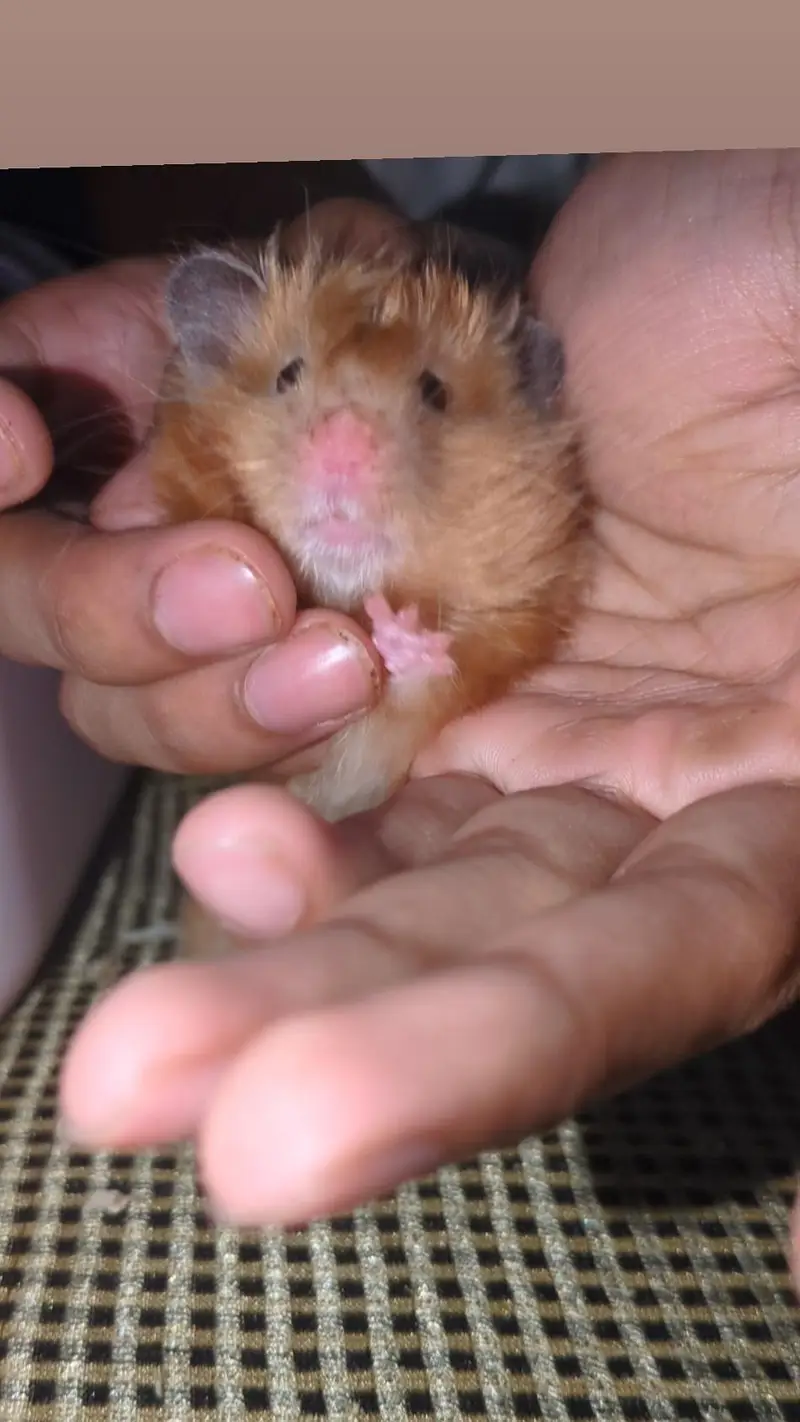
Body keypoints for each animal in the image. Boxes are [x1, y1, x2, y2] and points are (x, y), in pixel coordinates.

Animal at [149, 203, 589, 831]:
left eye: (435, 392)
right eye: (287, 374)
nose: (344, 444)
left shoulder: (516, 621)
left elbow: (434, 684)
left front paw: (398, 634)